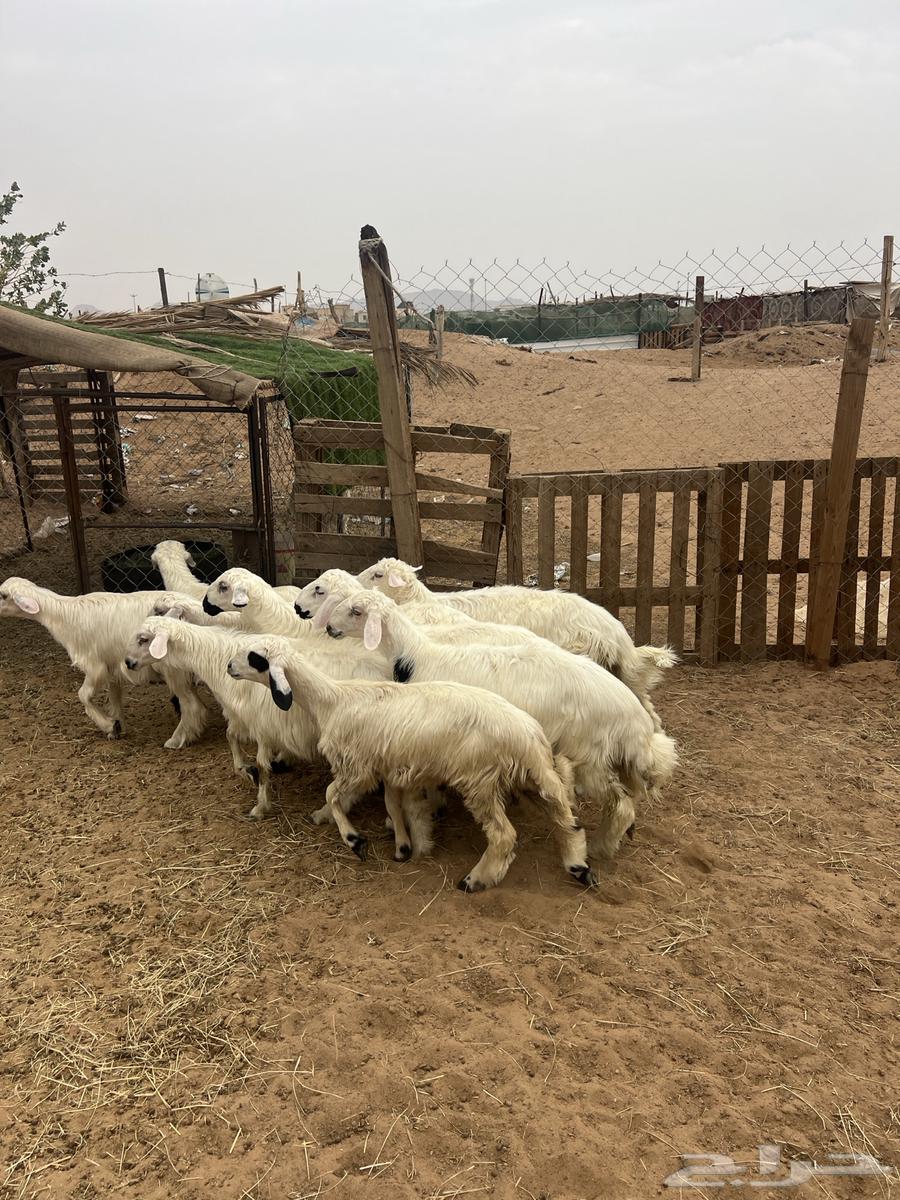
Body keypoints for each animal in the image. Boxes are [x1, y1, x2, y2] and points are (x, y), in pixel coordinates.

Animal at [0, 577, 207, 747]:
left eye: (3, 595)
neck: (65, 616)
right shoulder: (113, 666)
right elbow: (114, 697)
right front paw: (117, 725)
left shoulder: (94, 666)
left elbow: (83, 695)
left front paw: (109, 725)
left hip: (173, 669)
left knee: (192, 705)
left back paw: (177, 739)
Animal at [123, 617, 391, 821]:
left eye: (143, 639)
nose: (127, 662)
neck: (215, 658)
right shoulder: (243, 716)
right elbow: (231, 737)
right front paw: (244, 769)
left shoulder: (261, 723)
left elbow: (262, 764)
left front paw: (260, 805)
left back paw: (329, 812)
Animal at [226, 643, 597, 892]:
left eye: (255, 657)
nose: (229, 667)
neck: (332, 700)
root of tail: (527, 734)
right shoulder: (389, 767)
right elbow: (392, 804)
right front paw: (403, 846)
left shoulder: (358, 767)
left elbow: (332, 794)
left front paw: (355, 840)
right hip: (528, 776)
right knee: (566, 814)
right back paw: (578, 865)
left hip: (480, 780)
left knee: (504, 835)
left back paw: (476, 879)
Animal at [323, 588, 678, 860]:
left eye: (356, 611)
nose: (328, 628)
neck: (416, 655)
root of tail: (635, 724)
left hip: (590, 756)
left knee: (622, 805)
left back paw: (602, 847)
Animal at [358, 557, 677, 726]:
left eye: (378, 574)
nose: (354, 580)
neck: (423, 600)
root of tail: (618, 635)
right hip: (623, 674)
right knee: (644, 703)